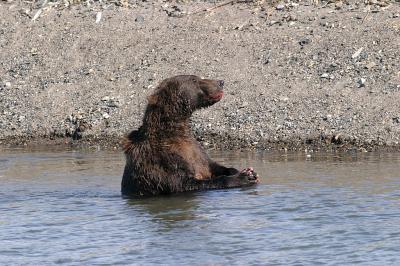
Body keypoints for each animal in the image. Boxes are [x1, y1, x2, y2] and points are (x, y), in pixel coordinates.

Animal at [122, 74, 260, 196]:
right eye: (194, 80)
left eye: (197, 77)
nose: (220, 82)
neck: (177, 131)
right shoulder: (164, 160)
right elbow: (184, 183)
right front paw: (243, 177)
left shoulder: (197, 152)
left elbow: (213, 165)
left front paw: (248, 171)